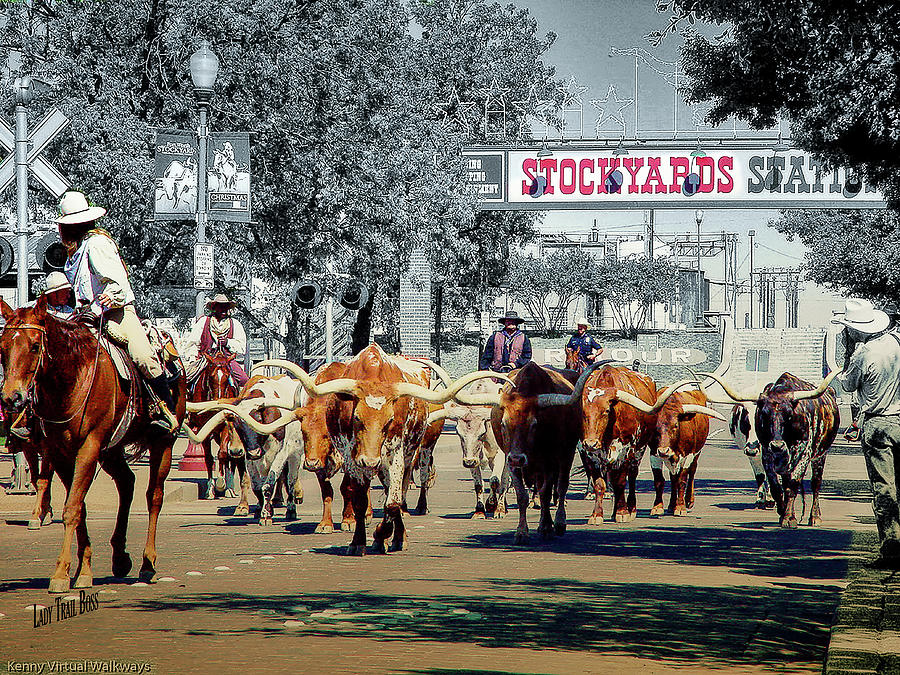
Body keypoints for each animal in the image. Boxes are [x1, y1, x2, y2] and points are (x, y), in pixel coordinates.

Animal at [0, 298, 185, 596]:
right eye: (3, 347)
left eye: (35, 345)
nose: (11, 398)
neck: (73, 379)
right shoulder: (61, 453)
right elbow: (79, 507)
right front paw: (83, 570)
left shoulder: (89, 447)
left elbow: (72, 508)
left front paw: (61, 573)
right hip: (112, 451)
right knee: (127, 483)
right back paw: (120, 558)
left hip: (163, 444)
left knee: (154, 496)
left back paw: (147, 564)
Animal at [187, 348, 250, 512]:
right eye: (211, 377)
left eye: (228, 378)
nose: (219, 403)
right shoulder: (203, 430)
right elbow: (209, 459)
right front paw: (210, 489)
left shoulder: (226, 428)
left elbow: (222, 454)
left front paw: (222, 483)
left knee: (230, 457)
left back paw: (229, 488)